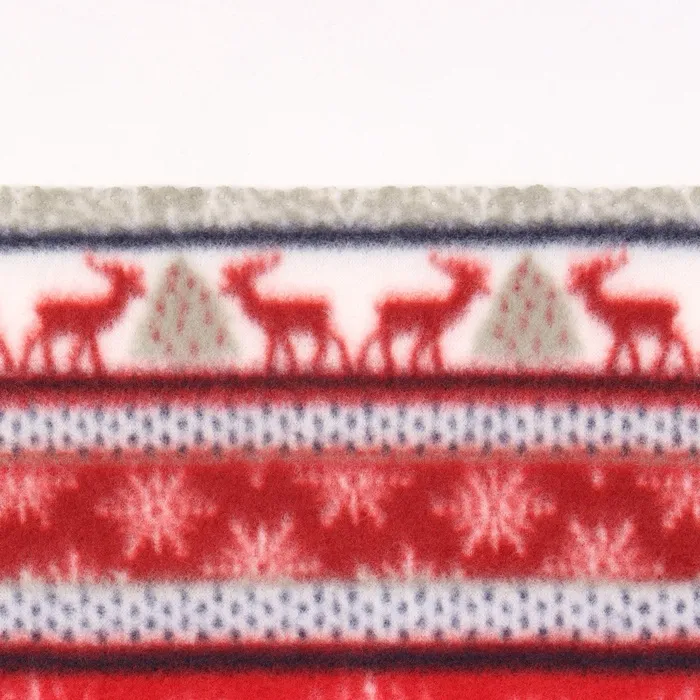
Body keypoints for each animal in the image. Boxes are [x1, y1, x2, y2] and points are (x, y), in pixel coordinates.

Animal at [220, 252, 351, 374]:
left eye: (240, 280)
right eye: (232, 278)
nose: (223, 289)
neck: (261, 307)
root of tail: (329, 304)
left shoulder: (275, 329)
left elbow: (273, 351)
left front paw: (270, 369)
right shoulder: (280, 331)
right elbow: (285, 350)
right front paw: (292, 367)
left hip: (317, 324)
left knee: (325, 341)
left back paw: (315, 365)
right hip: (323, 324)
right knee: (336, 338)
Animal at [357, 252, 490, 374]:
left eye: (478, 278)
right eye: (470, 280)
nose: (487, 290)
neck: (446, 306)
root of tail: (377, 303)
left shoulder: (427, 331)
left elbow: (419, 350)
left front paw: (415, 368)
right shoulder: (433, 329)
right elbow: (433, 353)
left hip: (389, 326)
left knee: (371, 339)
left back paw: (365, 365)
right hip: (389, 325)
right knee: (382, 342)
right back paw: (386, 366)